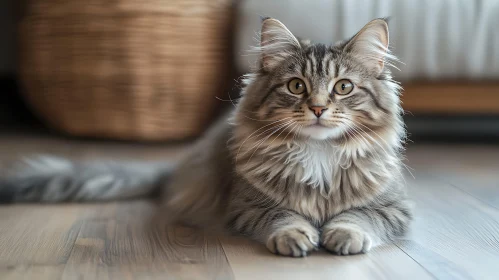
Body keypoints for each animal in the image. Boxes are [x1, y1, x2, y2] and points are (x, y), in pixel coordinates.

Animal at [1, 17, 412, 258]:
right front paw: (295, 235)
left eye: (343, 87)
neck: (318, 152)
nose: (317, 109)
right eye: (297, 86)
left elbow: (359, 217)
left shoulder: (394, 208)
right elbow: (282, 216)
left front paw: (343, 235)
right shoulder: (248, 205)